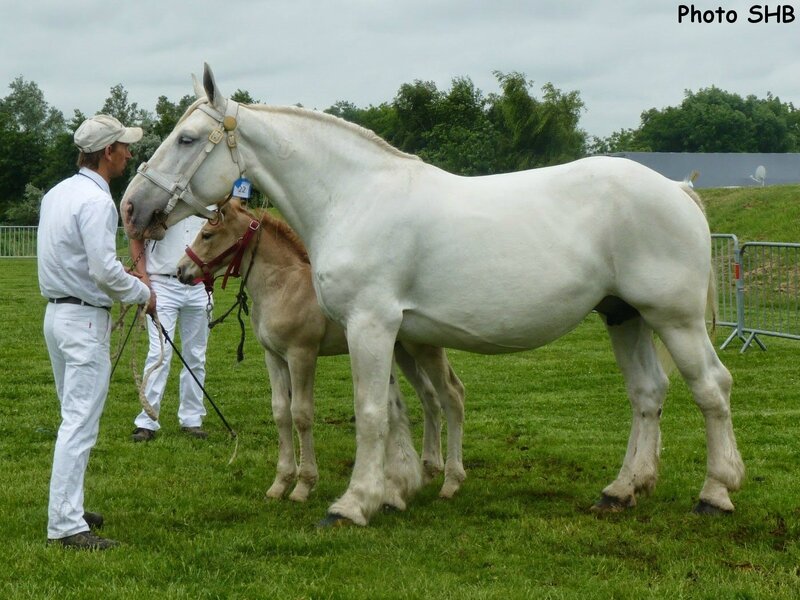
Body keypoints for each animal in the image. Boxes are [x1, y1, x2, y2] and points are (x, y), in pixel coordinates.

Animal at [172, 200, 466, 502]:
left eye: (207, 234)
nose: (180, 270)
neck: (283, 286)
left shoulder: (301, 354)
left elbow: (301, 414)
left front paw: (303, 485)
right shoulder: (273, 357)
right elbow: (281, 412)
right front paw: (280, 483)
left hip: (423, 348)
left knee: (452, 394)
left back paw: (451, 481)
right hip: (403, 351)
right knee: (430, 397)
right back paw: (428, 471)